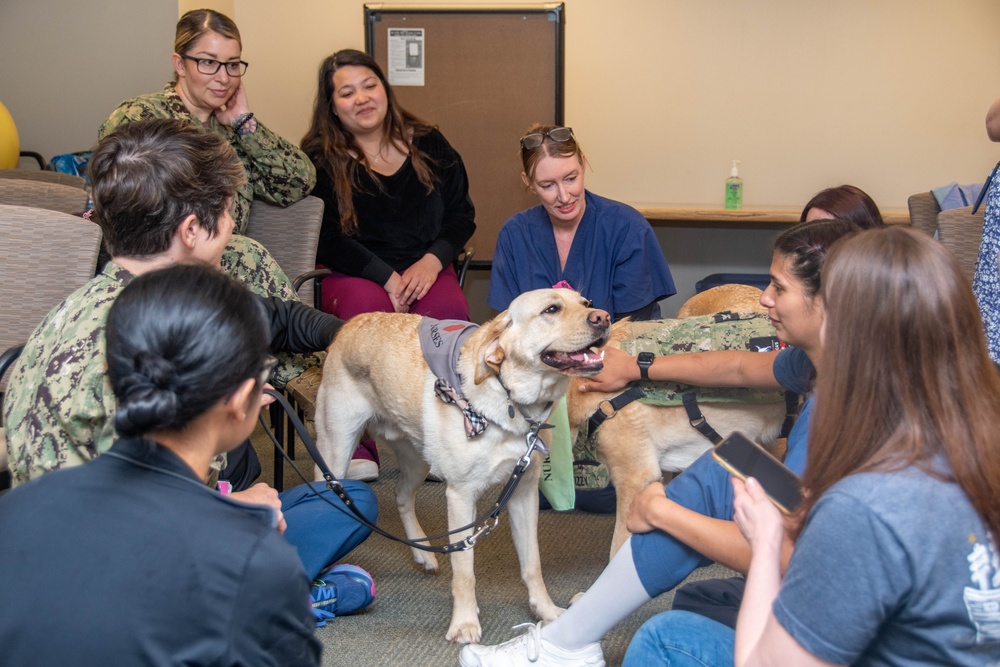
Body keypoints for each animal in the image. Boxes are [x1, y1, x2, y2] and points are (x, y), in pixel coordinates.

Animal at [314, 290, 608, 644]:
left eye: (585, 302)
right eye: (551, 309)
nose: (604, 317)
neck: (512, 403)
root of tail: (350, 324)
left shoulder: (523, 493)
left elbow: (532, 563)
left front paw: (546, 610)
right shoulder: (461, 497)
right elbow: (465, 570)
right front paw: (465, 623)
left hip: (418, 459)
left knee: (402, 496)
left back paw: (423, 552)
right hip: (336, 452)